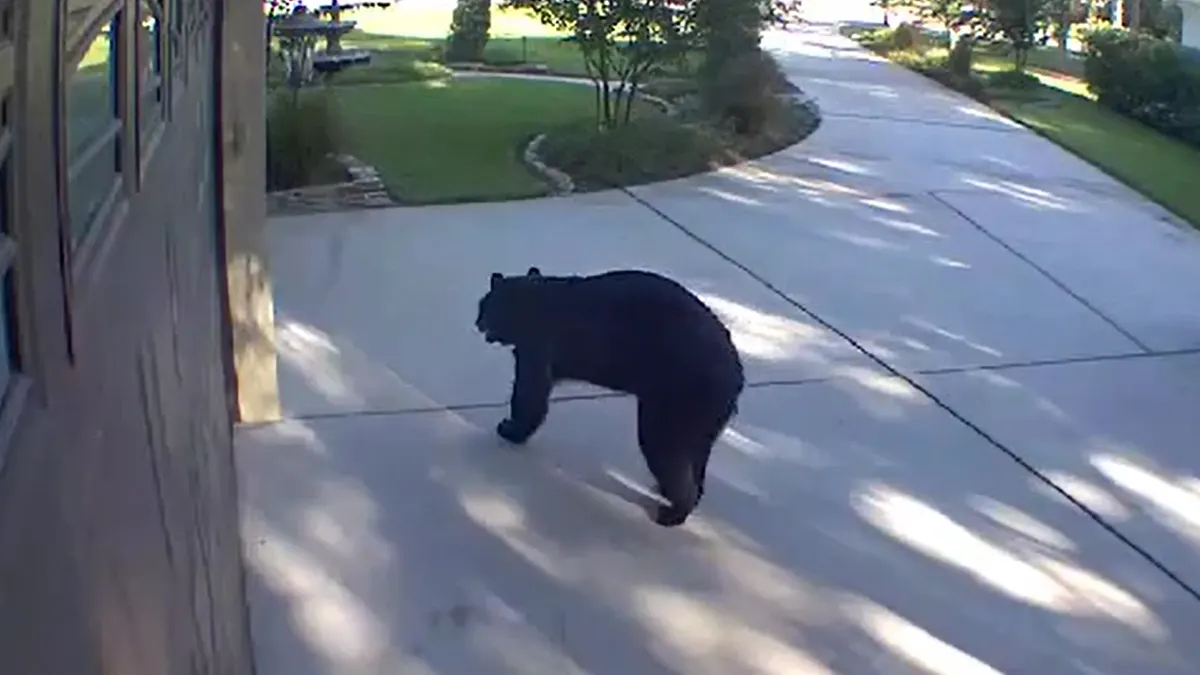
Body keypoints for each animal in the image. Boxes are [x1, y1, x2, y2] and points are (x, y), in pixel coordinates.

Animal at [475, 266, 739, 526]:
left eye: (484, 306)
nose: (477, 322)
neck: (531, 300)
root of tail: (737, 376)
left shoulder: (538, 346)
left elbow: (530, 392)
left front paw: (510, 429)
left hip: (678, 401)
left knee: (665, 449)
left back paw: (671, 513)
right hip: (700, 417)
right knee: (695, 458)